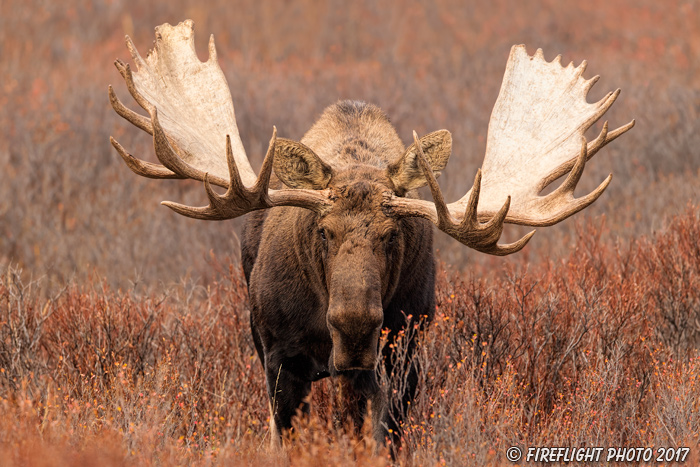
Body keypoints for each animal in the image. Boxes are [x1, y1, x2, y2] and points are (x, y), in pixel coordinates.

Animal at [108, 20, 636, 448]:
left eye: (392, 234)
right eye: (323, 231)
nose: (355, 325)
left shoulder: (403, 360)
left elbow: (384, 441)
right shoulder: (279, 359)